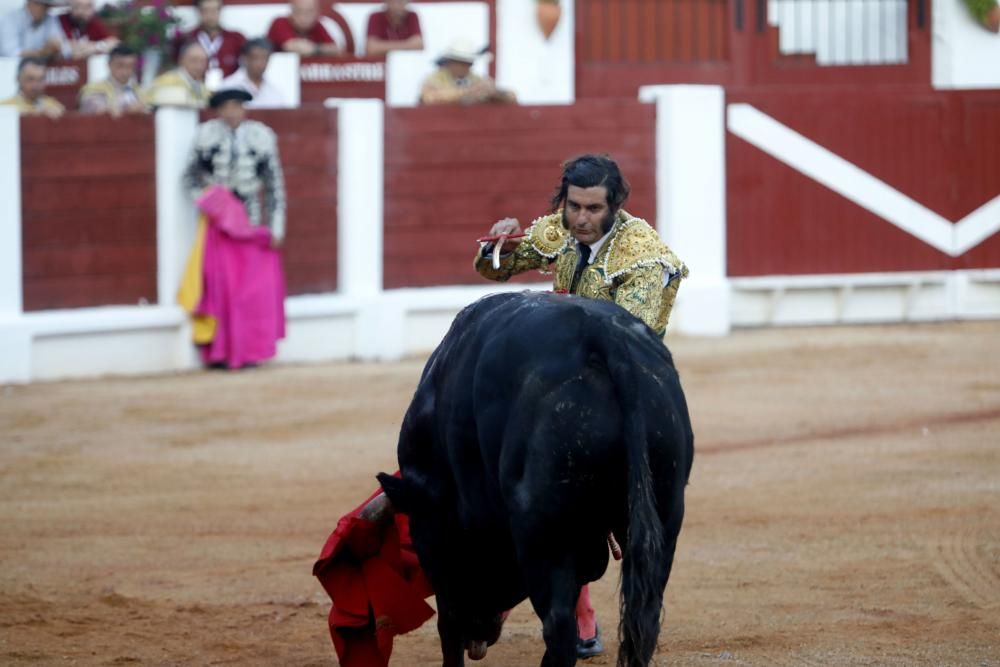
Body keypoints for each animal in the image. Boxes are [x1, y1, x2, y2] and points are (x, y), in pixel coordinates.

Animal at [378, 294, 692, 667]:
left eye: (416, 538)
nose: (477, 637)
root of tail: (602, 337)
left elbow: (448, 621)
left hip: (543, 534)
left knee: (558, 625)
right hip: (666, 510)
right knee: (645, 617)